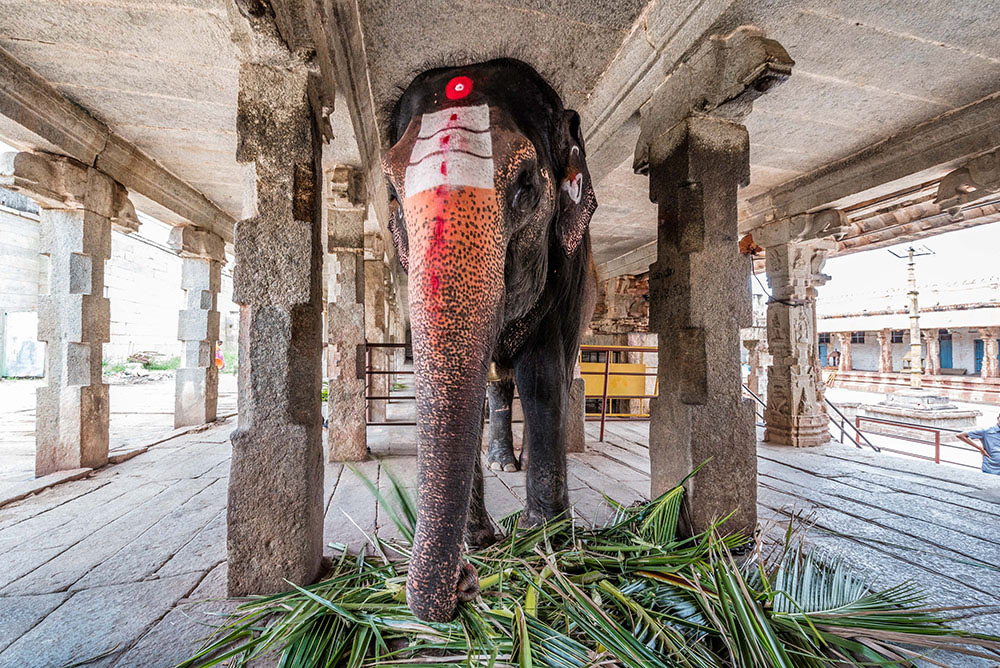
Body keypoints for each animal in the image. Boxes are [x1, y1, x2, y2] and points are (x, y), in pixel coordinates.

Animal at [380, 58, 600, 628]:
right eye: (390, 191)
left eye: (525, 184)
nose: (465, 585)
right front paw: (480, 543)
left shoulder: (568, 275)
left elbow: (542, 377)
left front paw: (544, 541)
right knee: (495, 388)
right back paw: (502, 463)